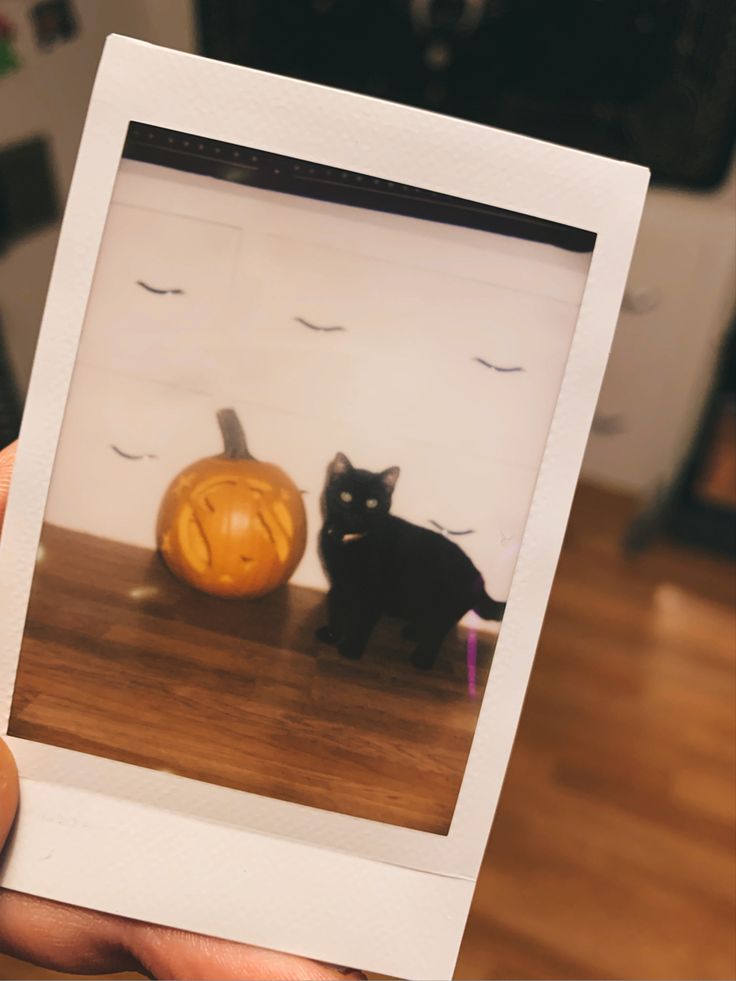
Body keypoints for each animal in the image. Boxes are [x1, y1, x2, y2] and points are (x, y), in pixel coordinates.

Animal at [316, 454, 506, 668]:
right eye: (345, 496)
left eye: (372, 503)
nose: (356, 513)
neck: (350, 540)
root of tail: (479, 576)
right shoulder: (338, 581)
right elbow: (336, 609)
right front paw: (332, 635)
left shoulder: (374, 593)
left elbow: (363, 622)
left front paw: (351, 649)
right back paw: (414, 633)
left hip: (445, 606)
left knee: (438, 631)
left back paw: (423, 659)